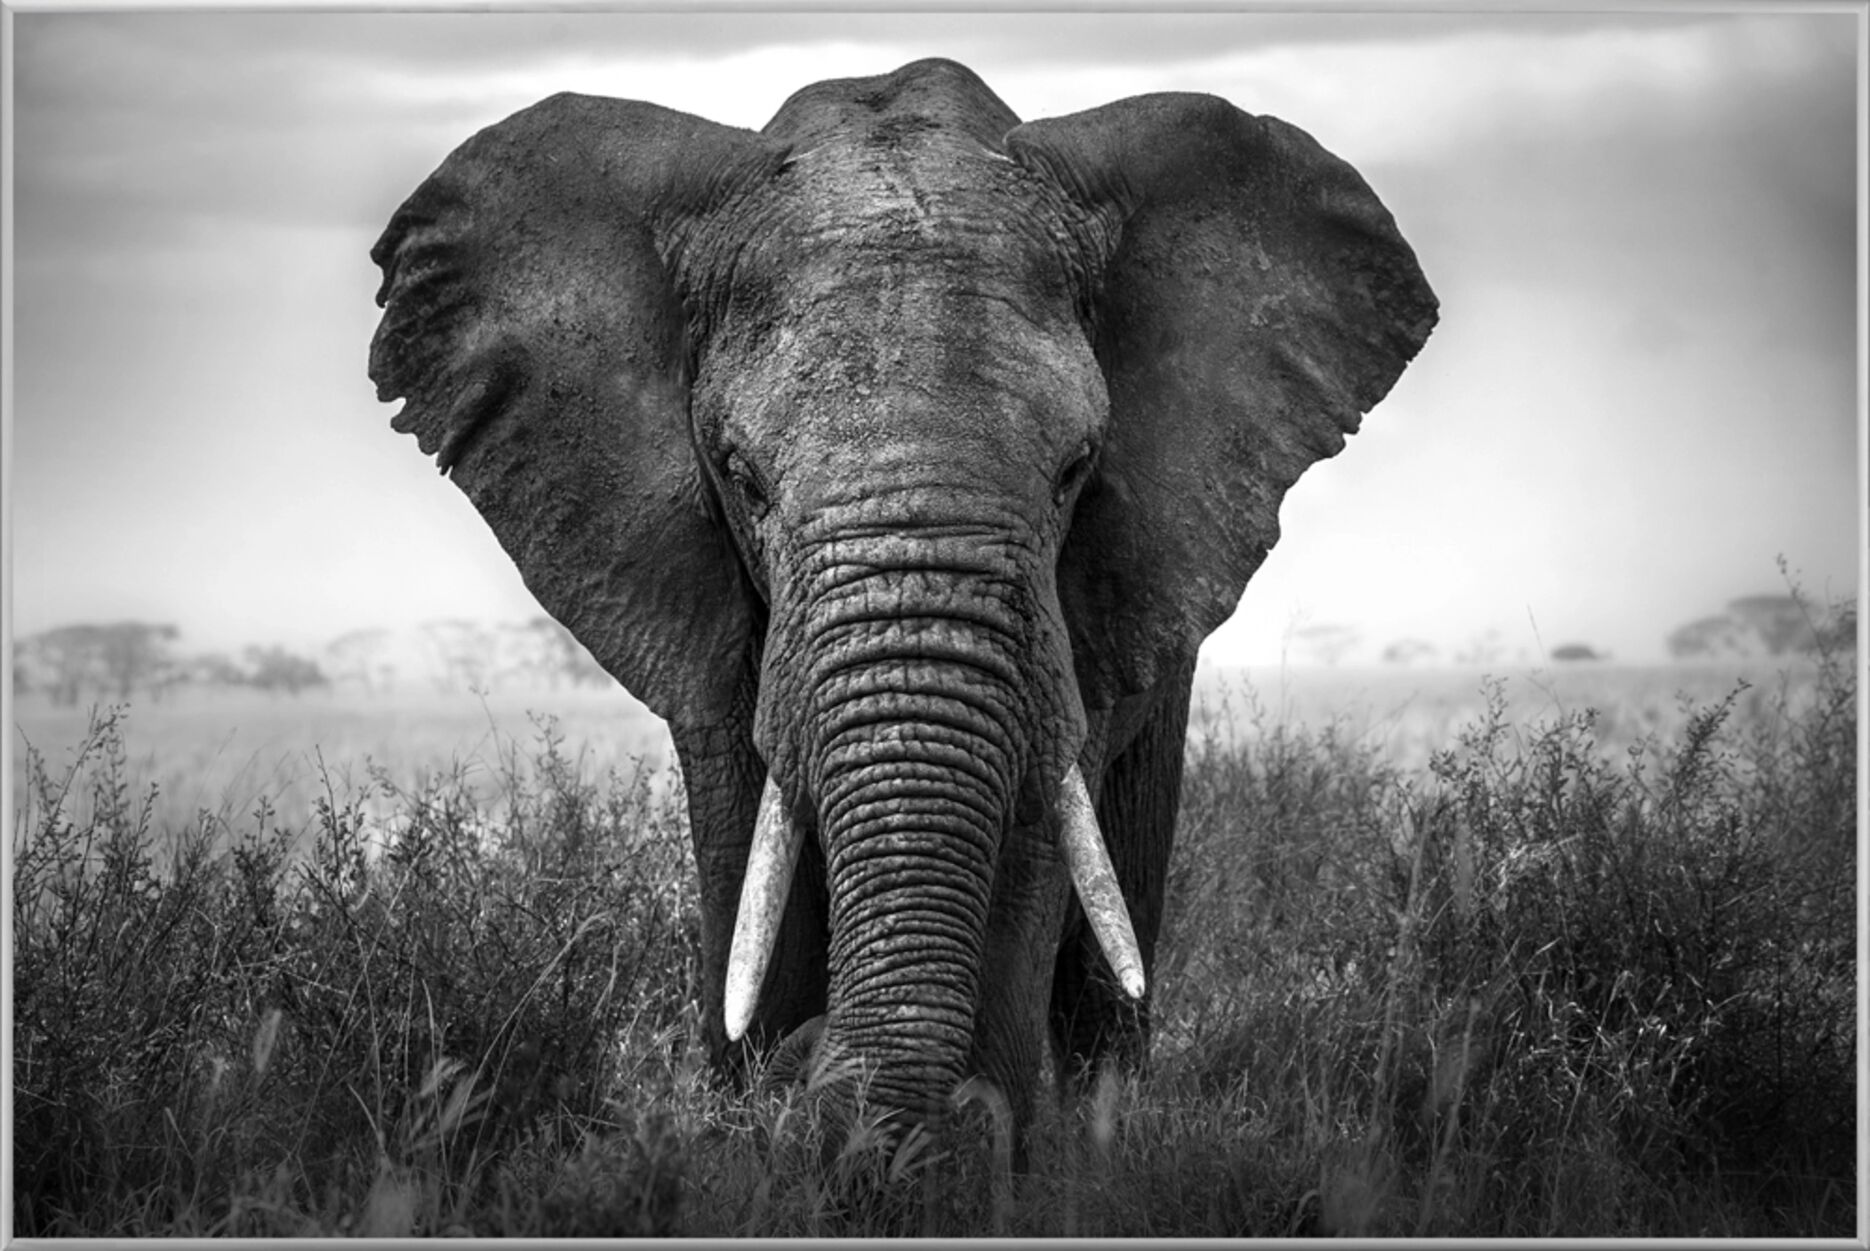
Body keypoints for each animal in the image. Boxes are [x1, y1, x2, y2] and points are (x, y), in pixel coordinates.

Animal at [369, 57, 1436, 1159]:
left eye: (1076, 470)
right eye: (743, 479)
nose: (814, 1068)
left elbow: (1031, 830)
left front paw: (964, 1148)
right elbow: (748, 835)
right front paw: (768, 1117)